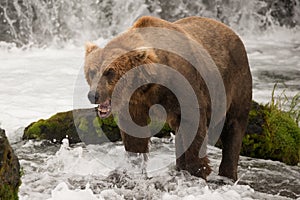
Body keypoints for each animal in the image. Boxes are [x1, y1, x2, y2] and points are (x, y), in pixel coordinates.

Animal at [84, 16, 251, 181]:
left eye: (109, 72)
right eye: (92, 71)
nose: (93, 95)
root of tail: (230, 30)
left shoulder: (185, 86)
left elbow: (194, 126)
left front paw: (198, 170)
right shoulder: (135, 102)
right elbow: (134, 134)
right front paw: (133, 167)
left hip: (235, 82)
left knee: (234, 125)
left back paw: (227, 173)